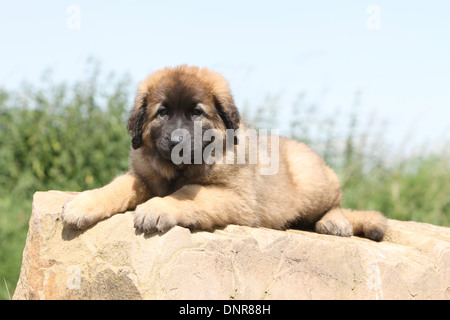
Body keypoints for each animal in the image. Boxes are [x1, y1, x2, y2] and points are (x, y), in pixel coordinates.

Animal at [61, 64, 388, 240]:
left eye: (196, 112)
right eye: (162, 113)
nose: (177, 140)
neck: (178, 169)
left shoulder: (236, 197)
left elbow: (188, 194)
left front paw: (158, 208)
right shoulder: (143, 175)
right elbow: (117, 186)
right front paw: (83, 203)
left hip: (311, 180)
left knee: (335, 203)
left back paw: (335, 222)